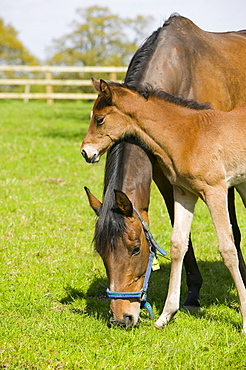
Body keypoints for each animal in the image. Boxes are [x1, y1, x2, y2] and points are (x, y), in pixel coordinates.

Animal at [85, 15, 246, 326]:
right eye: (101, 252)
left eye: (136, 248)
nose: (121, 318)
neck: (187, 130)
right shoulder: (179, 188)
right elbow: (178, 243)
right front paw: (170, 311)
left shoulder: (218, 188)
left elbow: (228, 245)